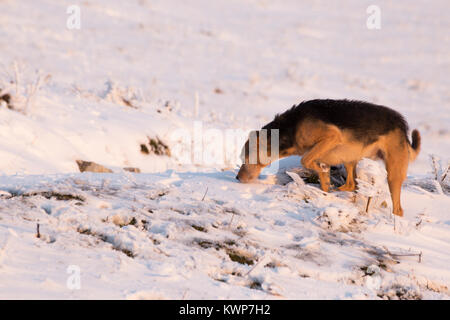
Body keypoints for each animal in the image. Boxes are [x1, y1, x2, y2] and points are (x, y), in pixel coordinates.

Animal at [237, 99, 420, 216]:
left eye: (246, 157)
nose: (237, 178)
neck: (291, 128)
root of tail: (402, 125)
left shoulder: (332, 136)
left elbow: (306, 160)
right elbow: (321, 177)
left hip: (393, 174)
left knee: (398, 209)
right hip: (350, 159)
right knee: (351, 184)